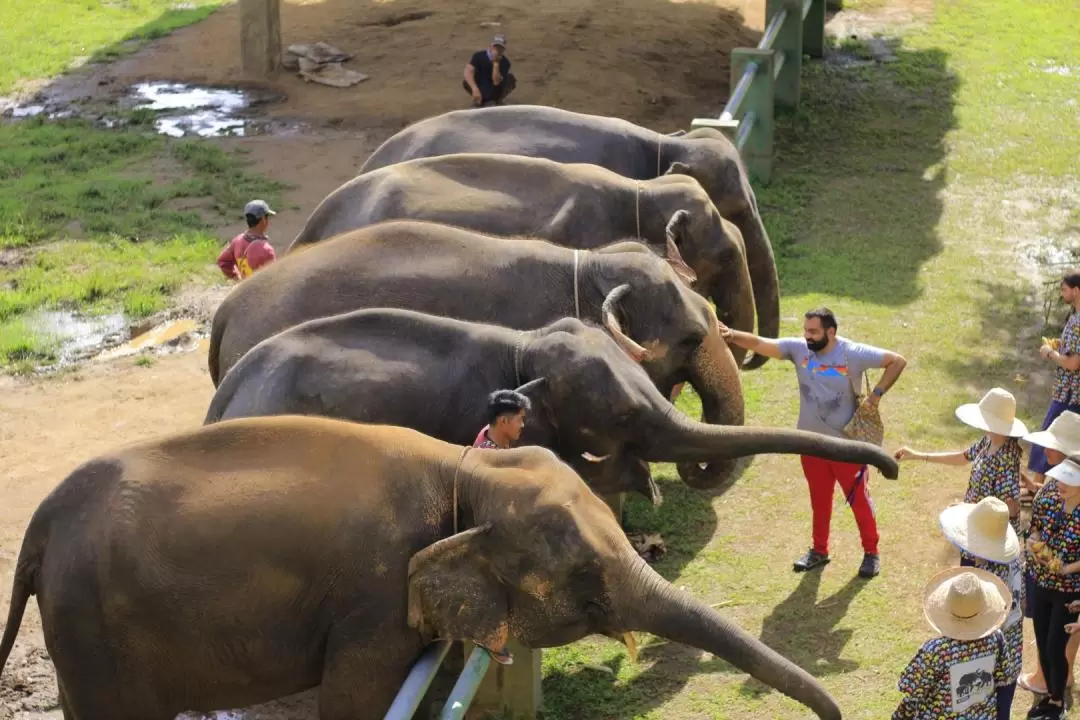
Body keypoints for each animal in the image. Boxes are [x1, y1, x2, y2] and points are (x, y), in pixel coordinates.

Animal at [0, 414, 842, 716]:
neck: (466, 469)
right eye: (588, 590)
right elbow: (354, 704)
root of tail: (41, 523)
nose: (832, 712)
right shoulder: (370, 598)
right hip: (96, 628)